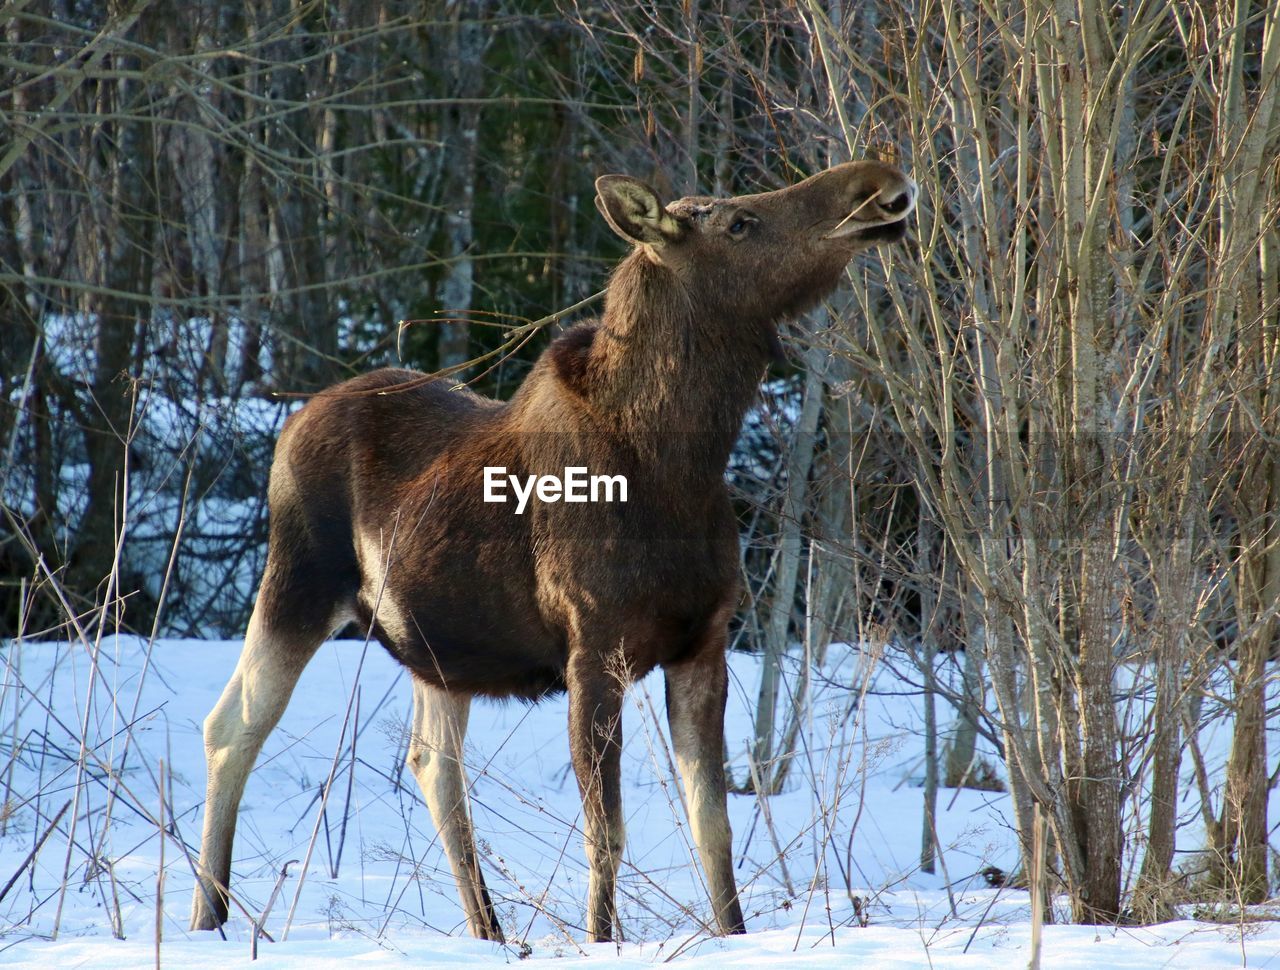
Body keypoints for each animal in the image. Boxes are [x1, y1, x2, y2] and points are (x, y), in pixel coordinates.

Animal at [189, 157, 916, 941]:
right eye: (739, 222)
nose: (878, 182)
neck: (680, 464)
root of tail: (291, 424)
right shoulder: (594, 646)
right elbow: (608, 833)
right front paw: (603, 939)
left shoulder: (704, 641)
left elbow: (713, 826)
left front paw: (733, 935)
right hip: (296, 580)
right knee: (231, 726)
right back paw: (210, 916)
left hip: (437, 652)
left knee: (432, 763)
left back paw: (490, 931)